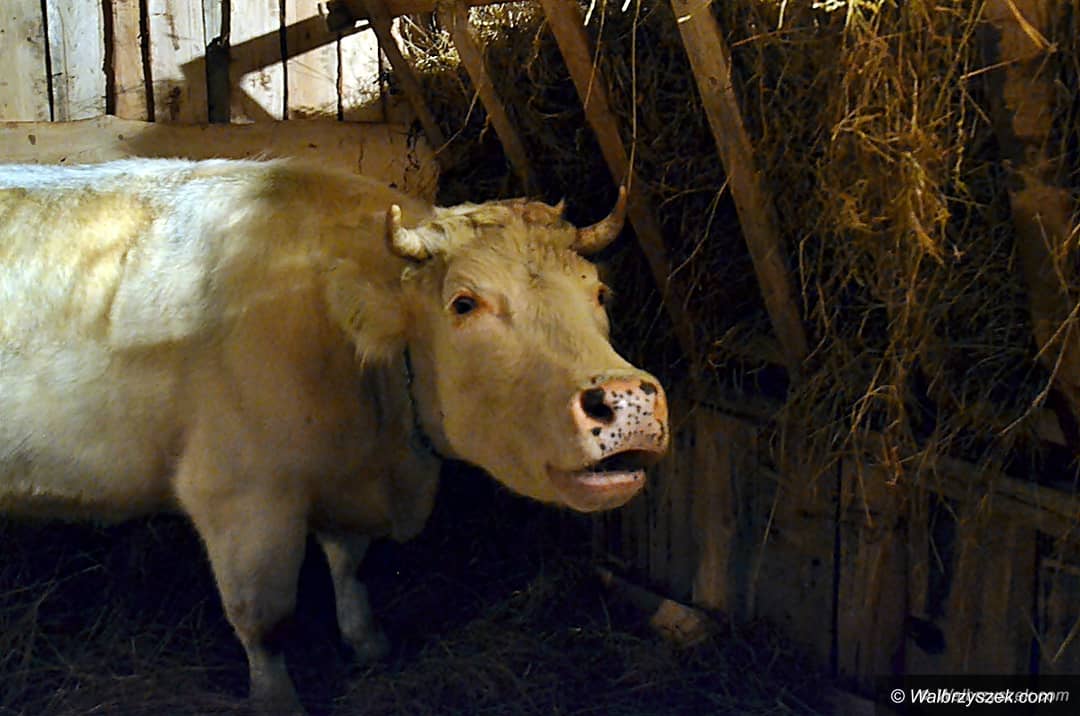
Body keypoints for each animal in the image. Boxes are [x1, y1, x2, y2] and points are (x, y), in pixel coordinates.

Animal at [0, 159, 669, 713]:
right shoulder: (241, 497)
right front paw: (277, 700)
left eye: (598, 292)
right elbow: (265, 619)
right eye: (464, 303)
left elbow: (350, 565)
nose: (626, 400)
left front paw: (367, 641)